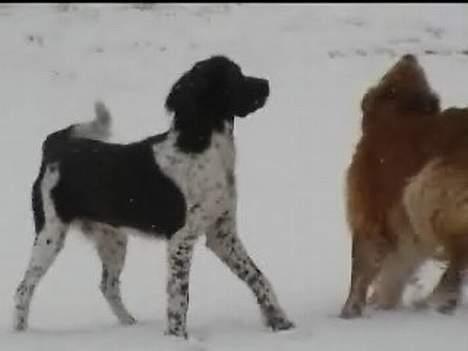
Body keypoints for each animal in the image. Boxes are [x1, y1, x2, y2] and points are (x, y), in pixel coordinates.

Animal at [14, 56, 294, 340]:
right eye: (234, 76)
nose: (266, 84)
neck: (203, 147)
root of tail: (55, 149)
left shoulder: (222, 234)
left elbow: (258, 278)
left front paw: (280, 322)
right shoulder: (181, 240)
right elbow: (179, 298)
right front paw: (177, 338)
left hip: (113, 239)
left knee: (108, 285)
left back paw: (130, 324)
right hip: (50, 235)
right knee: (23, 289)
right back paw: (20, 333)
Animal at [342, 54, 468, 320]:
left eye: (386, 76)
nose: (409, 55)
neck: (398, 115)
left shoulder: (369, 218)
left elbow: (362, 271)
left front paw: (350, 312)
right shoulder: (405, 234)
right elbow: (394, 273)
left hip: (424, 189)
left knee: (460, 253)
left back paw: (440, 299)